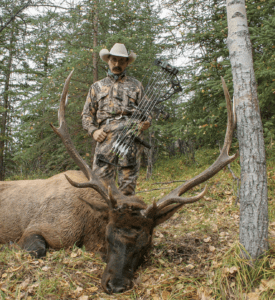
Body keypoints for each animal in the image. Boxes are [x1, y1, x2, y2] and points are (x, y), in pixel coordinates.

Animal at [0, 71, 238, 294]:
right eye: (108, 234)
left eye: (147, 241)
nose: (115, 285)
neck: (86, 225)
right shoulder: (38, 227)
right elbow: (36, 250)